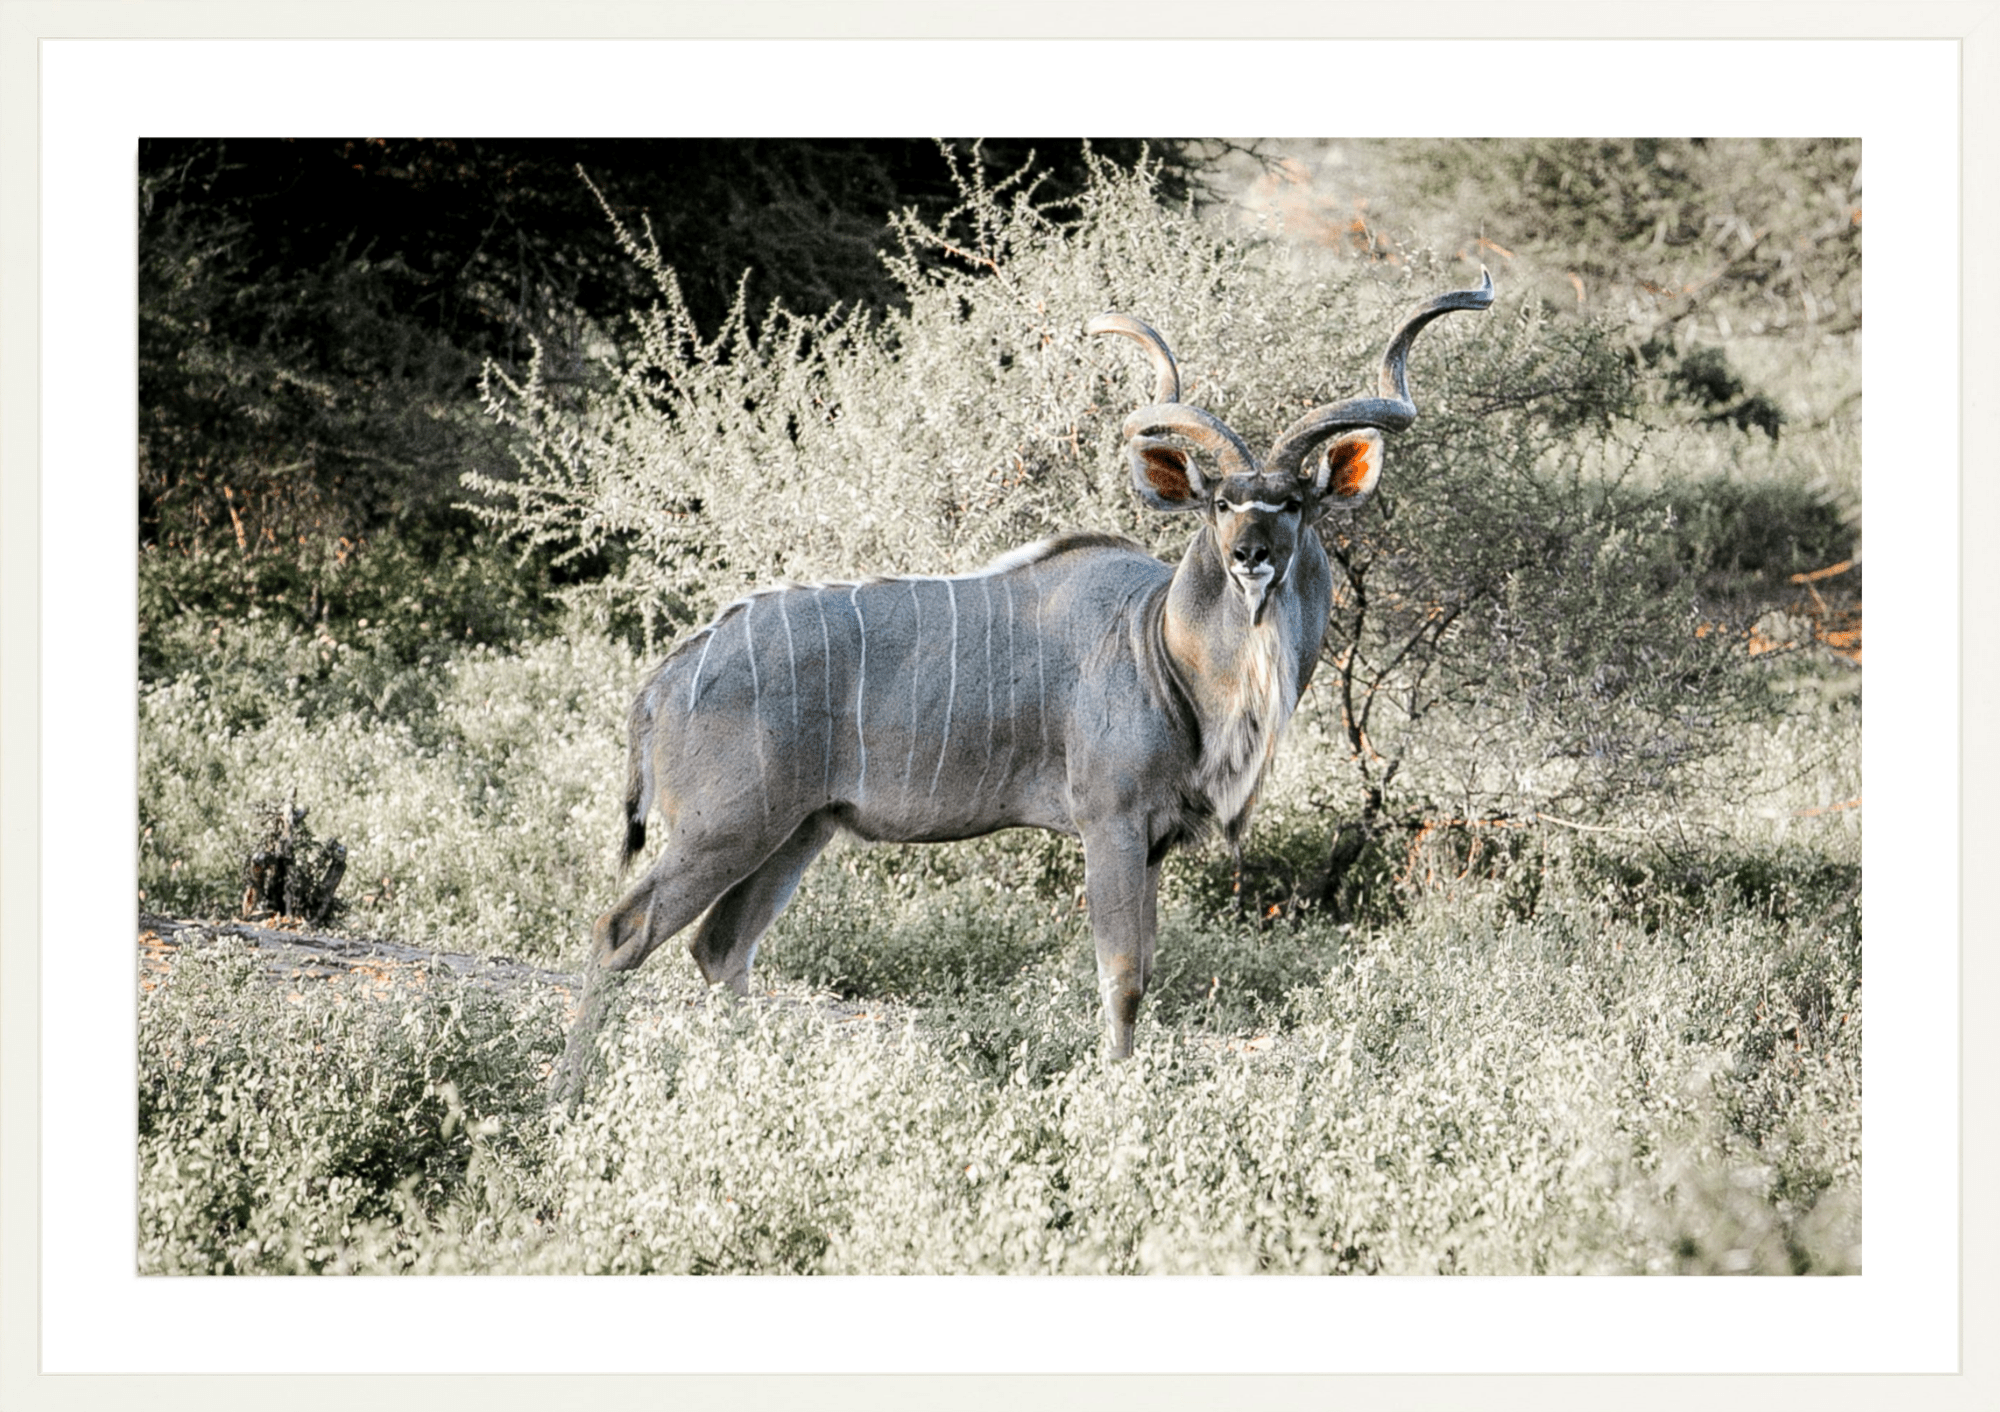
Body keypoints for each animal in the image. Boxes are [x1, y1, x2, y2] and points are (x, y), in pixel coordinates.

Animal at [566, 275, 1493, 1071]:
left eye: (1293, 502)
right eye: (1220, 502)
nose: (1250, 556)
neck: (1165, 649)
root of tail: (664, 679)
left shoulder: (1150, 841)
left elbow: (1143, 969)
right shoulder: (1110, 822)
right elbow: (1123, 978)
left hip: (798, 829)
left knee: (721, 948)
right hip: (726, 827)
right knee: (621, 931)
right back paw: (568, 1099)